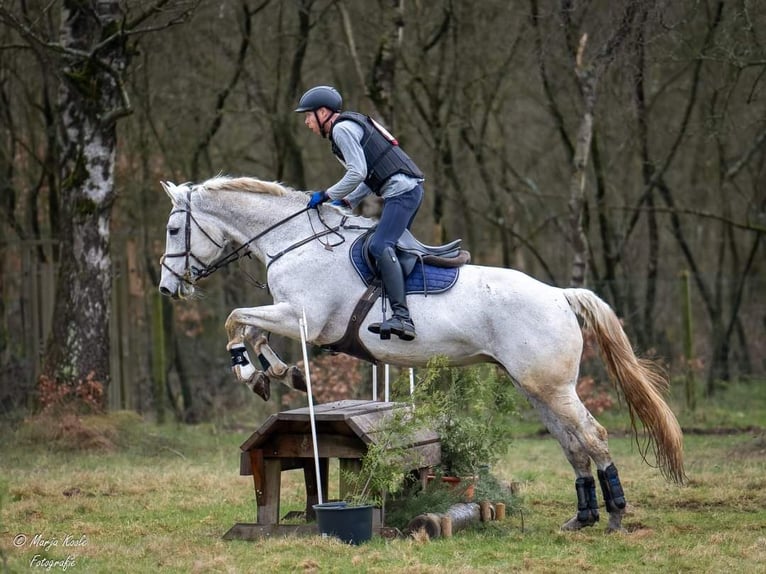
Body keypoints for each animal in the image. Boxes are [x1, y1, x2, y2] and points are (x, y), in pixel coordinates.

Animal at [159, 176, 688, 536]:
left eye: (173, 228)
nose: (167, 288)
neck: (296, 243)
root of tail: (559, 294)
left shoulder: (303, 316)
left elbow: (235, 321)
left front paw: (257, 372)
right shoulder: (292, 316)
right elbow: (249, 326)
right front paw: (279, 374)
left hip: (552, 387)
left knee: (593, 436)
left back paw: (615, 515)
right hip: (536, 387)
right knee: (571, 443)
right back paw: (582, 517)